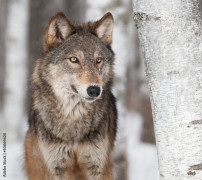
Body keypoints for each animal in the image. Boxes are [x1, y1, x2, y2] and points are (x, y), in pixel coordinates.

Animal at [24, 11, 117, 179]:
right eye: (74, 59)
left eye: (98, 60)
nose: (94, 90)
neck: (73, 117)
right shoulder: (55, 167)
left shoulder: (99, 166)